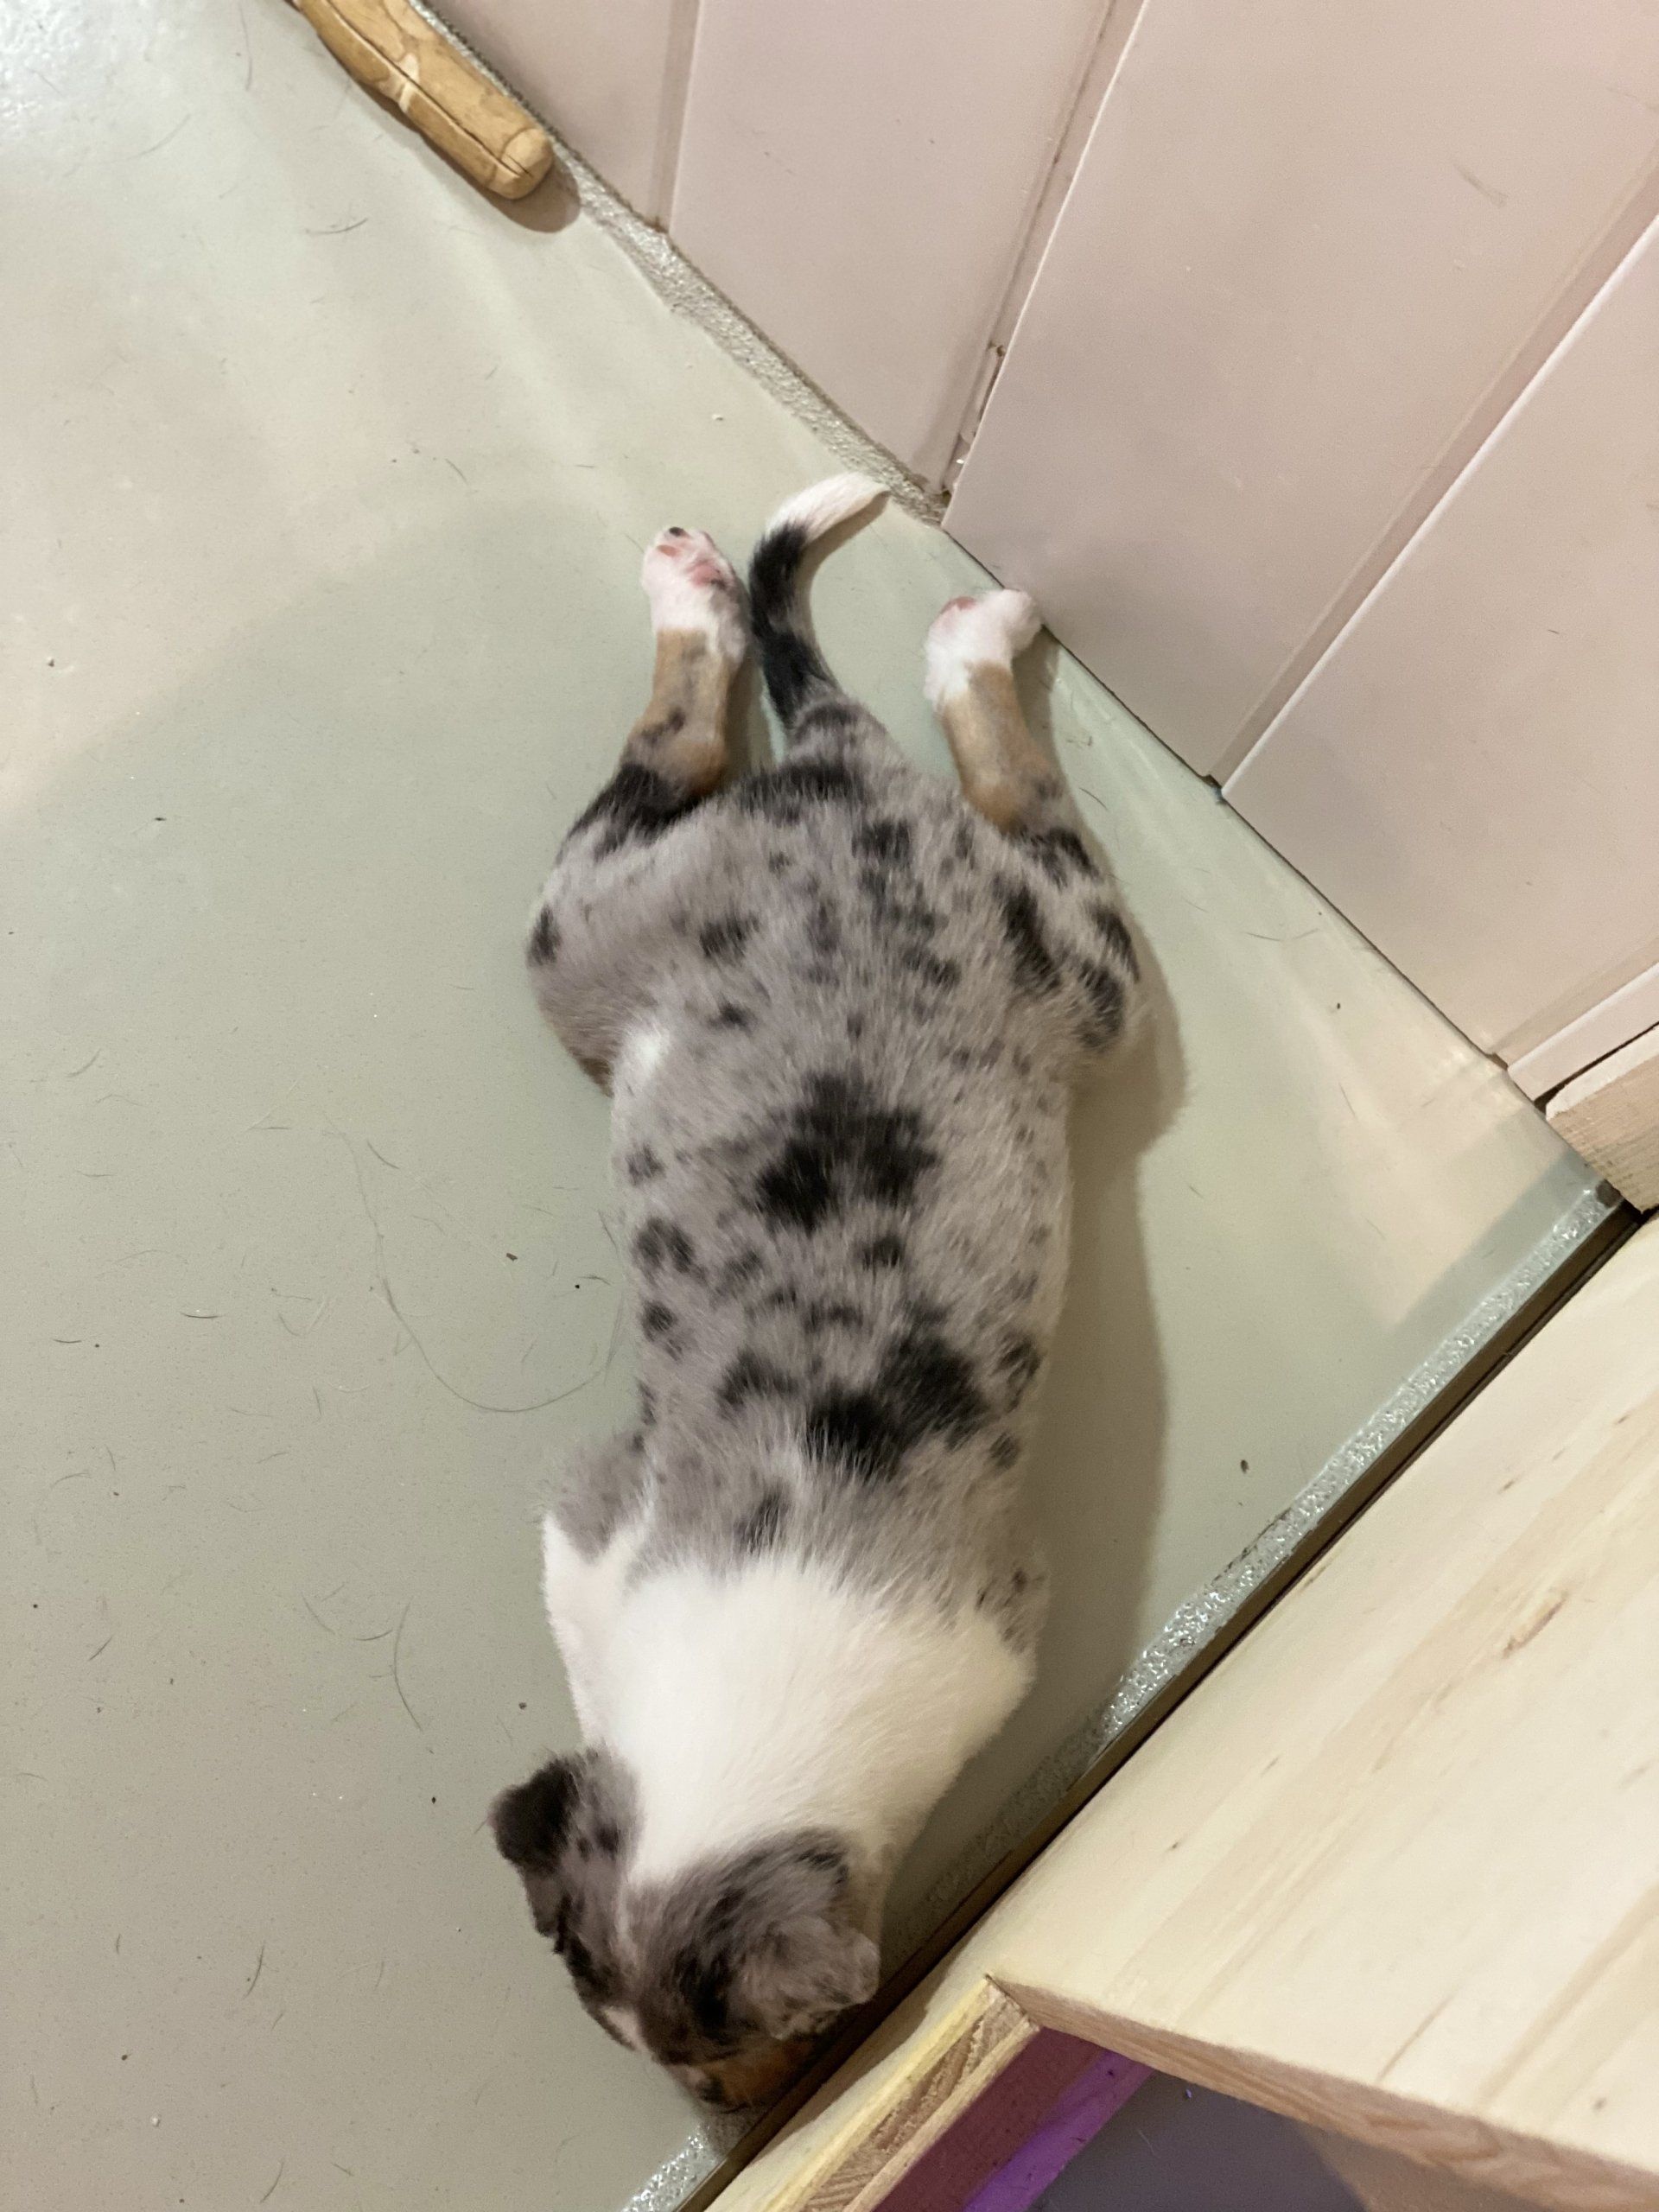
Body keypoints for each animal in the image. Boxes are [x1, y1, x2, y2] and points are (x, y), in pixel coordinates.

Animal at [491, 476, 1142, 2109]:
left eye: (733, 2046)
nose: (727, 2112)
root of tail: (842, 766)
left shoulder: (994, 1629)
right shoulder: (591, 1518)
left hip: (609, 929)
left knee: (686, 750)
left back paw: (766, 600)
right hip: (1054, 961)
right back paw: (906, 619)